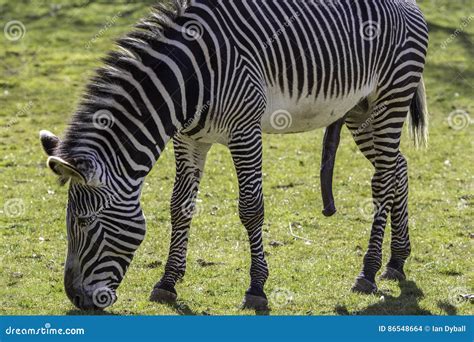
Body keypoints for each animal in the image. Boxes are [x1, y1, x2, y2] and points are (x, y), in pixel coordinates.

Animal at [39, 0, 428, 310]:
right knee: (397, 168)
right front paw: (167, 283)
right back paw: (396, 262)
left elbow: (251, 209)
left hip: (390, 97)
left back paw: (368, 271)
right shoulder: (189, 139)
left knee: (383, 181)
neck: (190, 80)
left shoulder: (245, 131)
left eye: (85, 222)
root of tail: (407, 2)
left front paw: (256, 288)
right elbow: (179, 207)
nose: (76, 299)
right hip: (360, 112)